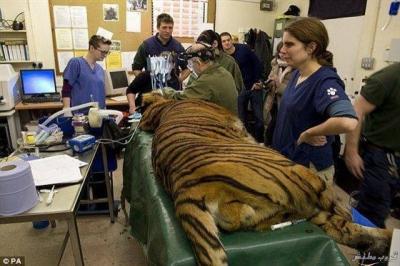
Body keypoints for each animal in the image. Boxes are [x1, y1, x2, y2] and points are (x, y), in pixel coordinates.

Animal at [138, 92, 390, 264]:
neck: (165, 110)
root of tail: (184, 189)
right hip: (300, 177)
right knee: (338, 213)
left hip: (291, 208)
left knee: (346, 229)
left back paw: (385, 241)